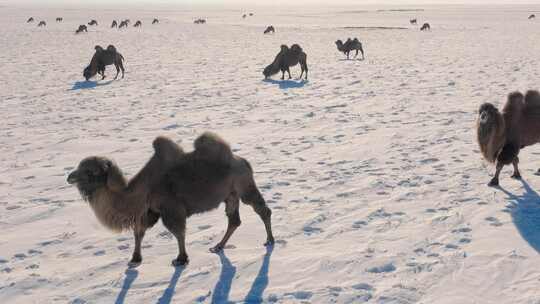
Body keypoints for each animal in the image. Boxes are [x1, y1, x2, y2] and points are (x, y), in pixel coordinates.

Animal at [68, 133, 276, 266]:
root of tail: (243, 161)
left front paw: (181, 259)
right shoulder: (150, 211)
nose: (69, 177)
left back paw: (269, 240)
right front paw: (135, 259)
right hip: (230, 195)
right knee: (234, 220)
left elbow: (178, 232)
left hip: (244, 186)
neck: (140, 191)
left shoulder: (171, 209)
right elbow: (138, 232)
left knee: (262, 210)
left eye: (90, 172)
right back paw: (218, 246)